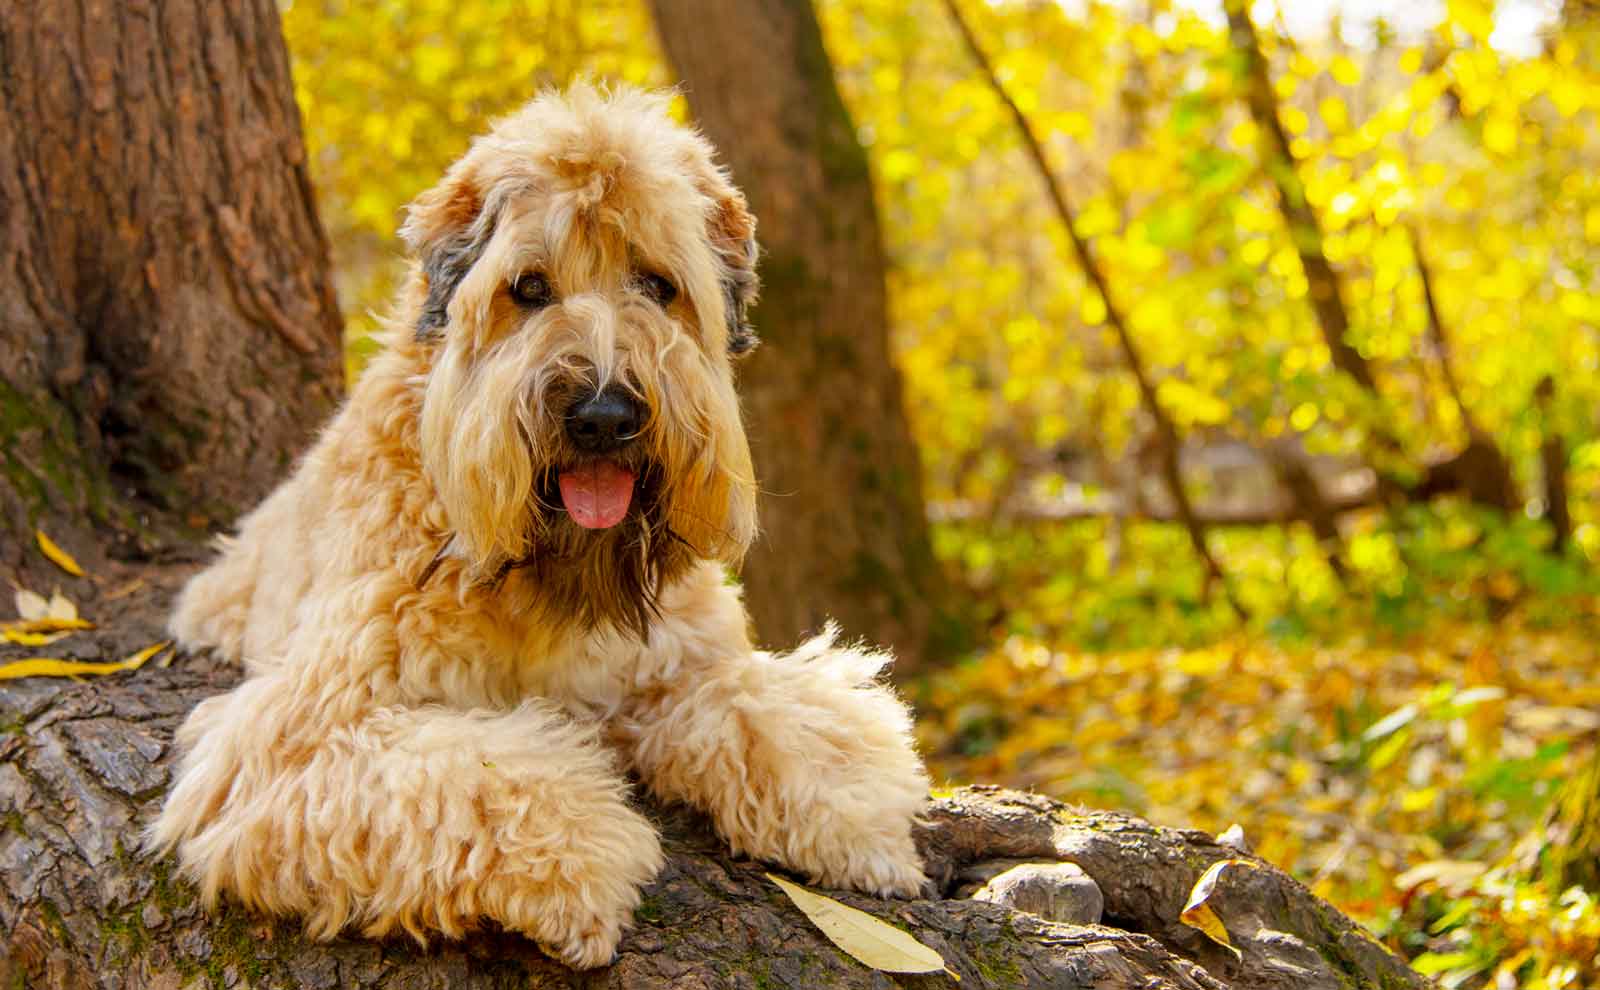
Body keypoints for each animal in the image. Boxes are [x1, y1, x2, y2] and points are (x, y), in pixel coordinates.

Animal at [152, 85, 928, 966]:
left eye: (656, 283)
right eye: (528, 288)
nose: (603, 417)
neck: (538, 576)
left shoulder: (682, 658)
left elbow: (771, 711)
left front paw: (860, 827)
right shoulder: (297, 738)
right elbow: (477, 773)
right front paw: (583, 868)